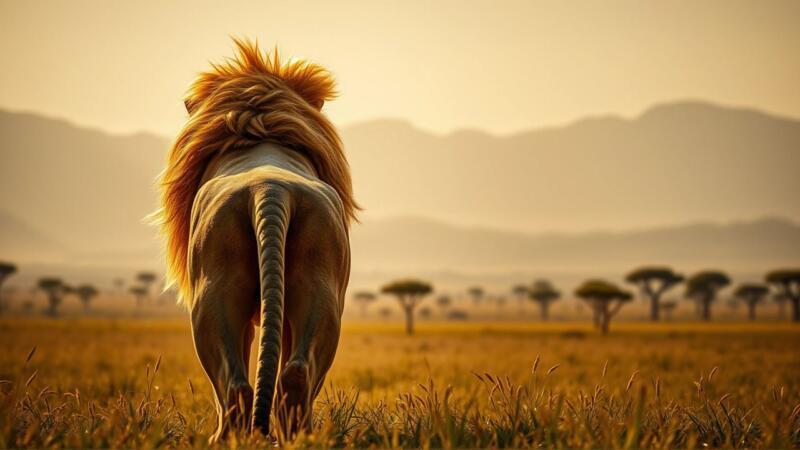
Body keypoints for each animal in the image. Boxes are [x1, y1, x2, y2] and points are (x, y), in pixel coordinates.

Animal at [153, 39, 358, 442]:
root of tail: (271, 188)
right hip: (321, 282)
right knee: (295, 371)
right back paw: (298, 437)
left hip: (211, 292)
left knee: (234, 384)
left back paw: (227, 438)